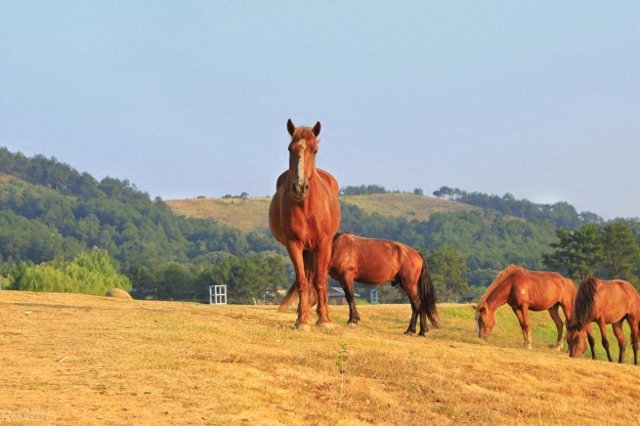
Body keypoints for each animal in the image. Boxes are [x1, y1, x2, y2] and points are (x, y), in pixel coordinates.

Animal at [268, 119, 342, 330]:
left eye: (314, 150)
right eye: (290, 149)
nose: (299, 187)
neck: (306, 207)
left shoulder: (323, 244)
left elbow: (319, 280)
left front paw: (323, 320)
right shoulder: (294, 244)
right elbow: (302, 281)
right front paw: (302, 320)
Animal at [282, 233, 440, 336]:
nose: (298, 314)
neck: (335, 247)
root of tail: (416, 253)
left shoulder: (347, 277)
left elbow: (350, 297)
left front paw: (353, 320)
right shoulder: (341, 279)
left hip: (409, 284)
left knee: (417, 304)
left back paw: (412, 330)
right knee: (419, 304)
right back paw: (422, 331)